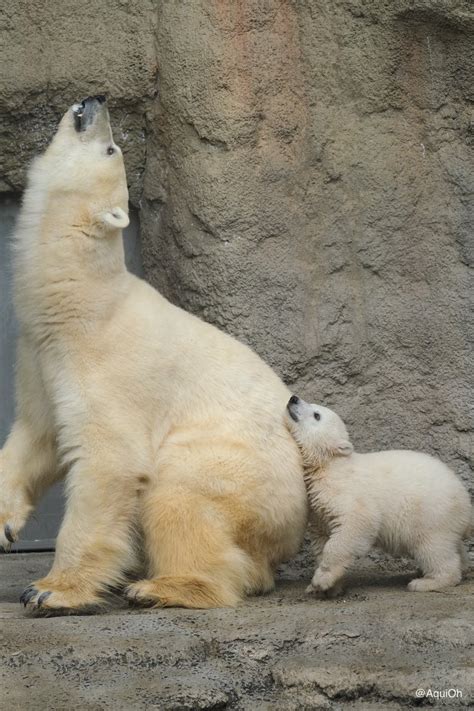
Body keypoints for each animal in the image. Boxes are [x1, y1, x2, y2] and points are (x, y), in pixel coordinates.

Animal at [0, 97, 308, 616]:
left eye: (112, 148)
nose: (96, 100)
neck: (76, 301)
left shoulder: (105, 364)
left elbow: (109, 457)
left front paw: (51, 590)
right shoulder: (40, 356)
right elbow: (36, 436)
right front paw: (4, 522)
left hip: (240, 470)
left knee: (179, 495)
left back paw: (163, 586)